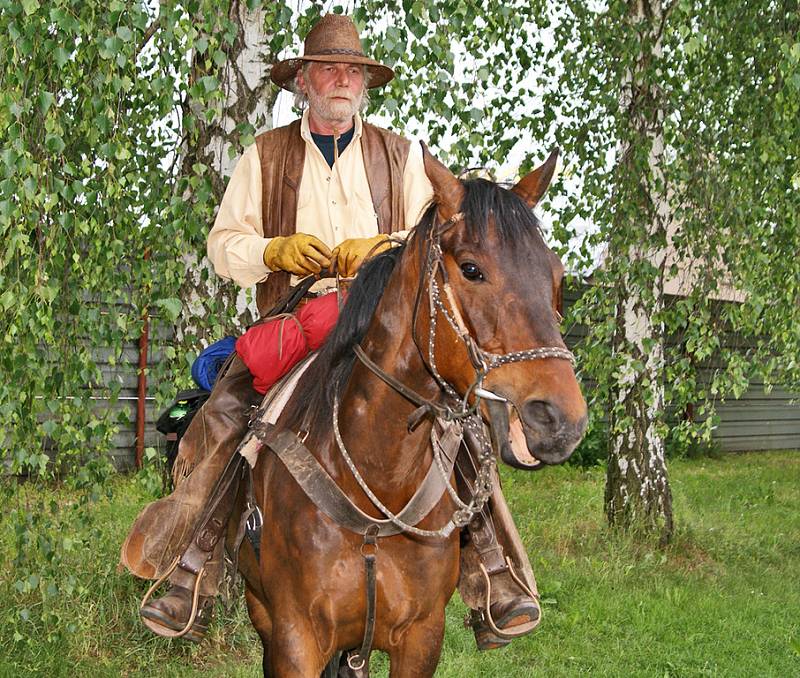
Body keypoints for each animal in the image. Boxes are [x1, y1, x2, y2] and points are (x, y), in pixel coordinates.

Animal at [238, 150, 588, 678]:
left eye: (557, 274)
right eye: (471, 269)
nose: (560, 420)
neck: (375, 484)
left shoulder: (422, 637)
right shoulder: (295, 639)